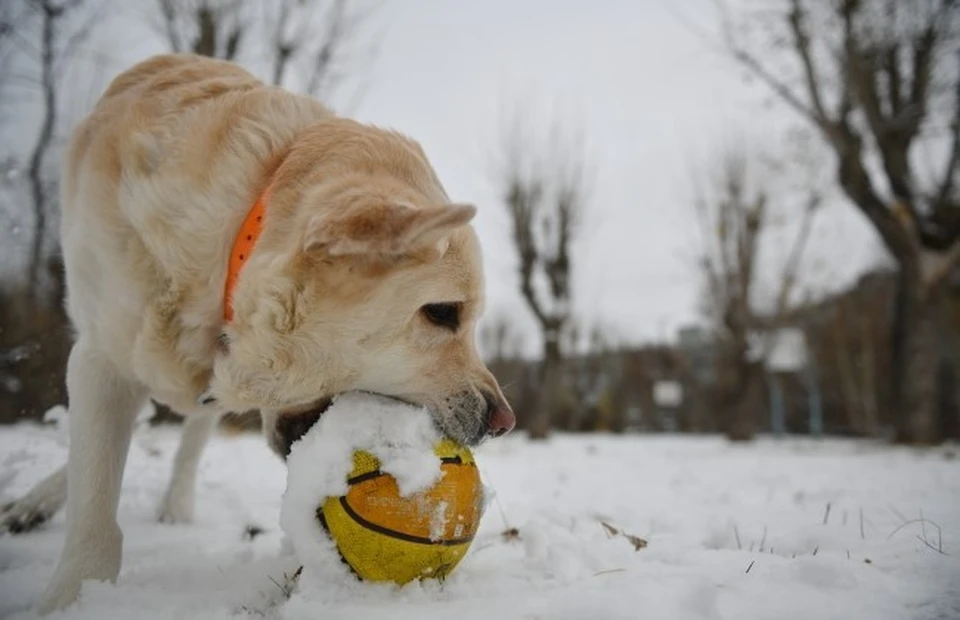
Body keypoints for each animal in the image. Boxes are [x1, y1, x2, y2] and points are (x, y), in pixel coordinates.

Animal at [3, 54, 512, 616]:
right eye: (442, 313)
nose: (503, 421)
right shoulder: (101, 356)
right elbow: (94, 497)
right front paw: (73, 596)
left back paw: (172, 504)